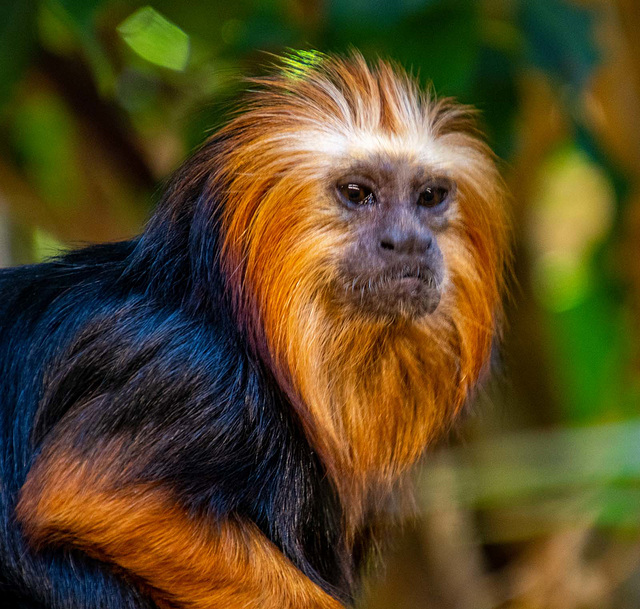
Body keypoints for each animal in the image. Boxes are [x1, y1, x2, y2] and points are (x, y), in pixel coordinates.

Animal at [0, 52, 510, 608]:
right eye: (358, 194)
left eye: (429, 197)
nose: (409, 242)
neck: (252, 344)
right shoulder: (186, 375)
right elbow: (86, 497)